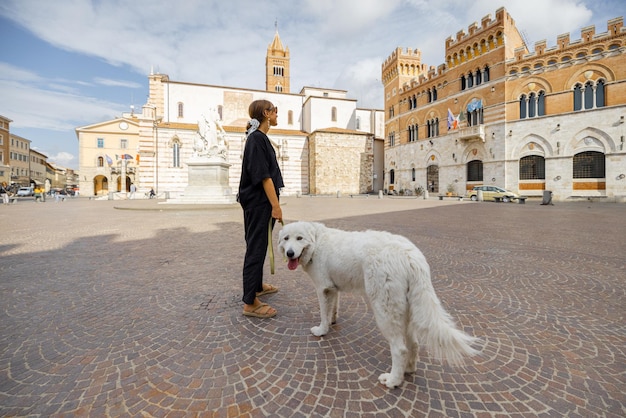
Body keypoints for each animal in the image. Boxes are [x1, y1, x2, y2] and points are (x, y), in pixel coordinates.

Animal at [278, 222, 478, 388]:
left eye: (299, 238)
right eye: (286, 239)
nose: (289, 253)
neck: (317, 243)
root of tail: (411, 256)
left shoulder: (323, 289)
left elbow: (323, 313)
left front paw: (321, 330)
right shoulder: (333, 289)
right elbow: (332, 309)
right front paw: (332, 321)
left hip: (384, 311)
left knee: (399, 349)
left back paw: (393, 380)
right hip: (404, 311)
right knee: (413, 344)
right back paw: (408, 370)